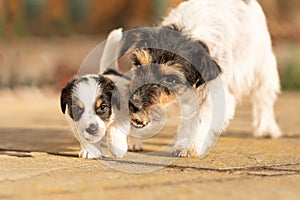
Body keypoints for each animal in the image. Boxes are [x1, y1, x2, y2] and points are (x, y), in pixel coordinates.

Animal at [119, 0, 282, 156]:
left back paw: (266, 129)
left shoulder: (215, 96)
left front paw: (187, 147)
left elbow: (201, 120)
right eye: (138, 65)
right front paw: (132, 140)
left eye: (171, 80)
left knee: (263, 99)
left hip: (263, 69)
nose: (133, 104)